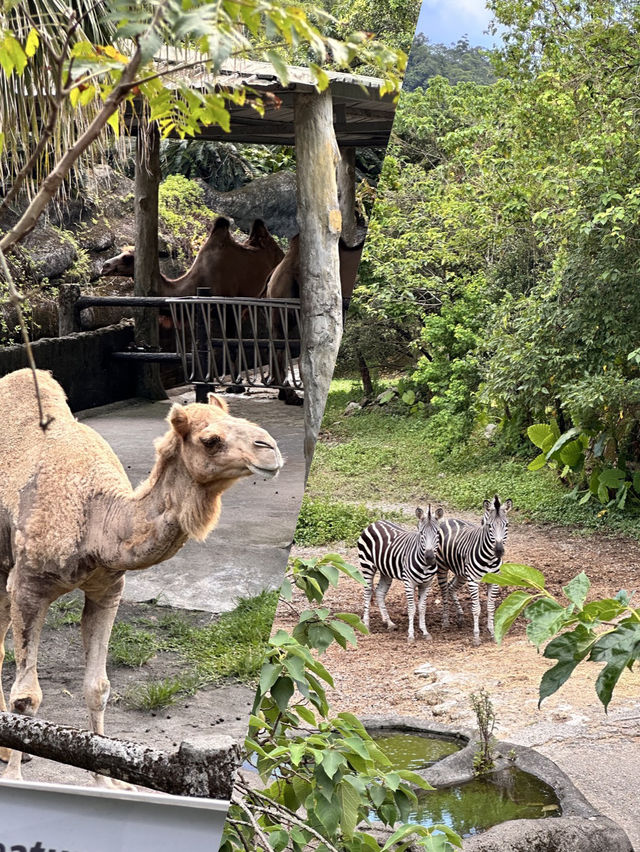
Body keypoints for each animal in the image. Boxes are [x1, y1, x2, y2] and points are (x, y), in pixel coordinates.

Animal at [0, 370, 282, 784]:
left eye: (242, 421)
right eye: (210, 440)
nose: (270, 449)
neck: (96, 518)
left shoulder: (107, 588)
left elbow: (97, 687)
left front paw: (106, 782)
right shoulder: (28, 587)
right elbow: (26, 697)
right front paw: (15, 778)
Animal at [356, 506, 444, 640]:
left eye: (437, 533)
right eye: (421, 533)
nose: (429, 557)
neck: (424, 566)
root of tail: (375, 522)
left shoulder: (427, 584)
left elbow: (422, 608)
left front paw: (425, 631)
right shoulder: (408, 582)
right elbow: (412, 608)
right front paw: (411, 635)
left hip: (386, 571)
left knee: (379, 592)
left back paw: (389, 623)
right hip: (367, 565)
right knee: (367, 592)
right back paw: (366, 624)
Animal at [438, 492, 512, 644]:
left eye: (506, 525)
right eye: (489, 526)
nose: (499, 551)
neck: (489, 559)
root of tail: (449, 519)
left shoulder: (494, 581)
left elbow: (490, 607)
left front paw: (492, 633)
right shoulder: (473, 580)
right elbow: (476, 608)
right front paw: (476, 637)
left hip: (461, 573)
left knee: (450, 587)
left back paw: (460, 616)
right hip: (442, 568)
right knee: (444, 591)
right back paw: (445, 621)